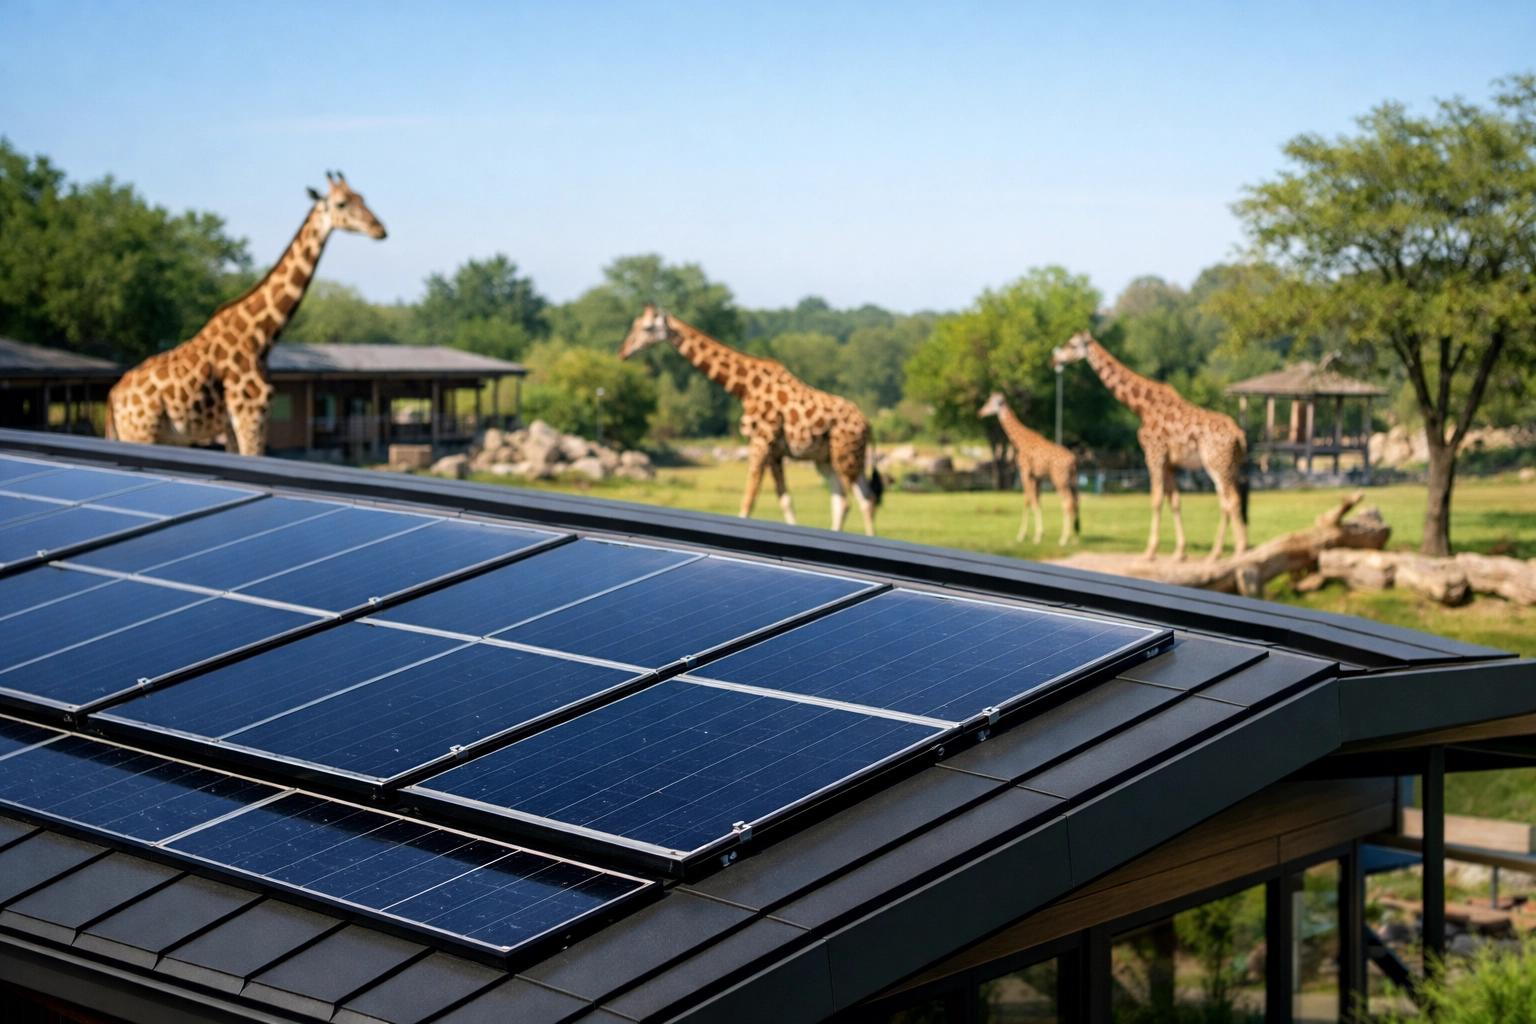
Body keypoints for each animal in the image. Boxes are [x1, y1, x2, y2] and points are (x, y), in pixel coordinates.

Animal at [107, 172, 386, 456]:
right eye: (342, 203)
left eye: (362, 198)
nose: (379, 229)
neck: (260, 335)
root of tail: (112, 399)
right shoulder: (250, 412)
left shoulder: (235, 423)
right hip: (141, 433)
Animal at [620, 304, 883, 535]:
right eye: (633, 324)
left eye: (646, 328)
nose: (623, 351)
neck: (745, 388)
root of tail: (868, 425)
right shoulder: (775, 452)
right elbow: (786, 502)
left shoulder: (761, 440)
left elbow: (748, 499)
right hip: (830, 459)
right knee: (860, 499)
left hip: (844, 456)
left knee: (852, 501)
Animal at [978, 392, 1080, 546]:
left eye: (991, 402)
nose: (980, 412)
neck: (1019, 442)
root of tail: (1072, 461)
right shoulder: (1036, 477)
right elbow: (1035, 501)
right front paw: (1035, 534)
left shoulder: (1025, 471)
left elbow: (1028, 501)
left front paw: (1029, 536)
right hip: (1072, 481)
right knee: (1075, 502)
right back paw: (1074, 538)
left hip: (1059, 479)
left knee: (1068, 502)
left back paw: (1064, 539)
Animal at [1052, 331, 1248, 561]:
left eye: (1072, 345)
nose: (1054, 360)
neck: (1142, 407)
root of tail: (1239, 435)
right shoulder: (1170, 463)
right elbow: (1175, 501)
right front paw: (1179, 552)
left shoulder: (1154, 453)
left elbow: (1156, 499)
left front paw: (1150, 550)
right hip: (1230, 465)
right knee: (1228, 501)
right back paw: (1219, 552)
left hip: (1216, 462)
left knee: (1231, 500)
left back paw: (1237, 551)